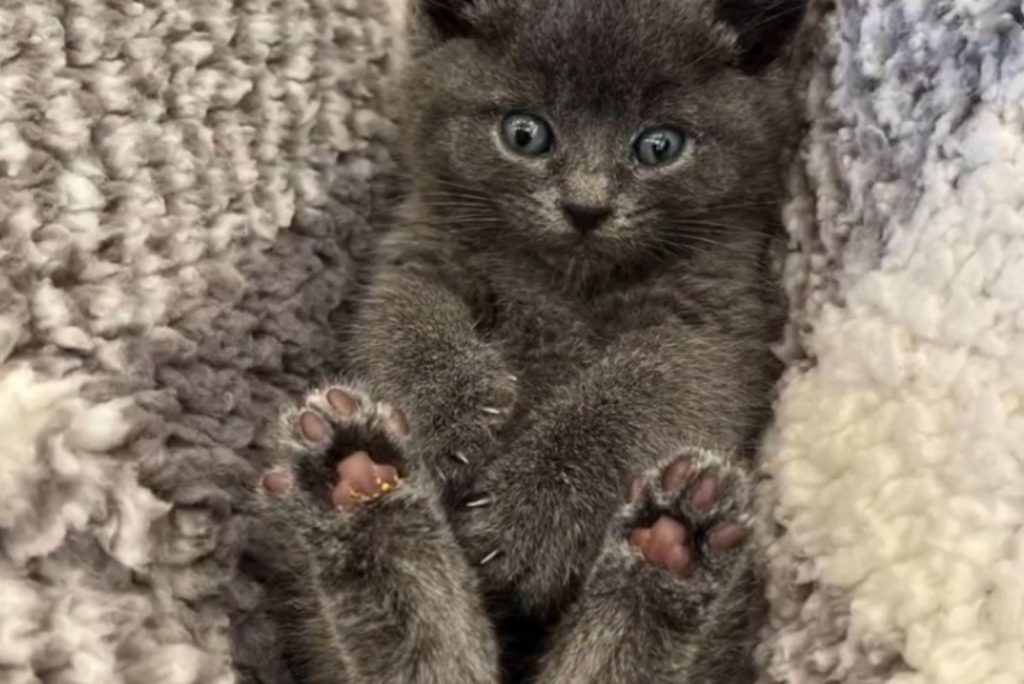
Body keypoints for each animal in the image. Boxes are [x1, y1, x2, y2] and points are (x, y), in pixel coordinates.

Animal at [249, 0, 806, 679]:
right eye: (525, 133)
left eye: (660, 145)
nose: (586, 206)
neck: (565, 279)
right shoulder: (414, 252)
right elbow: (405, 323)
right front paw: (447, 415)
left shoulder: (720, 326)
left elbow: (641, 391)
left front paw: (532, 519)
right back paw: (354, 476)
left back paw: (675, 537)